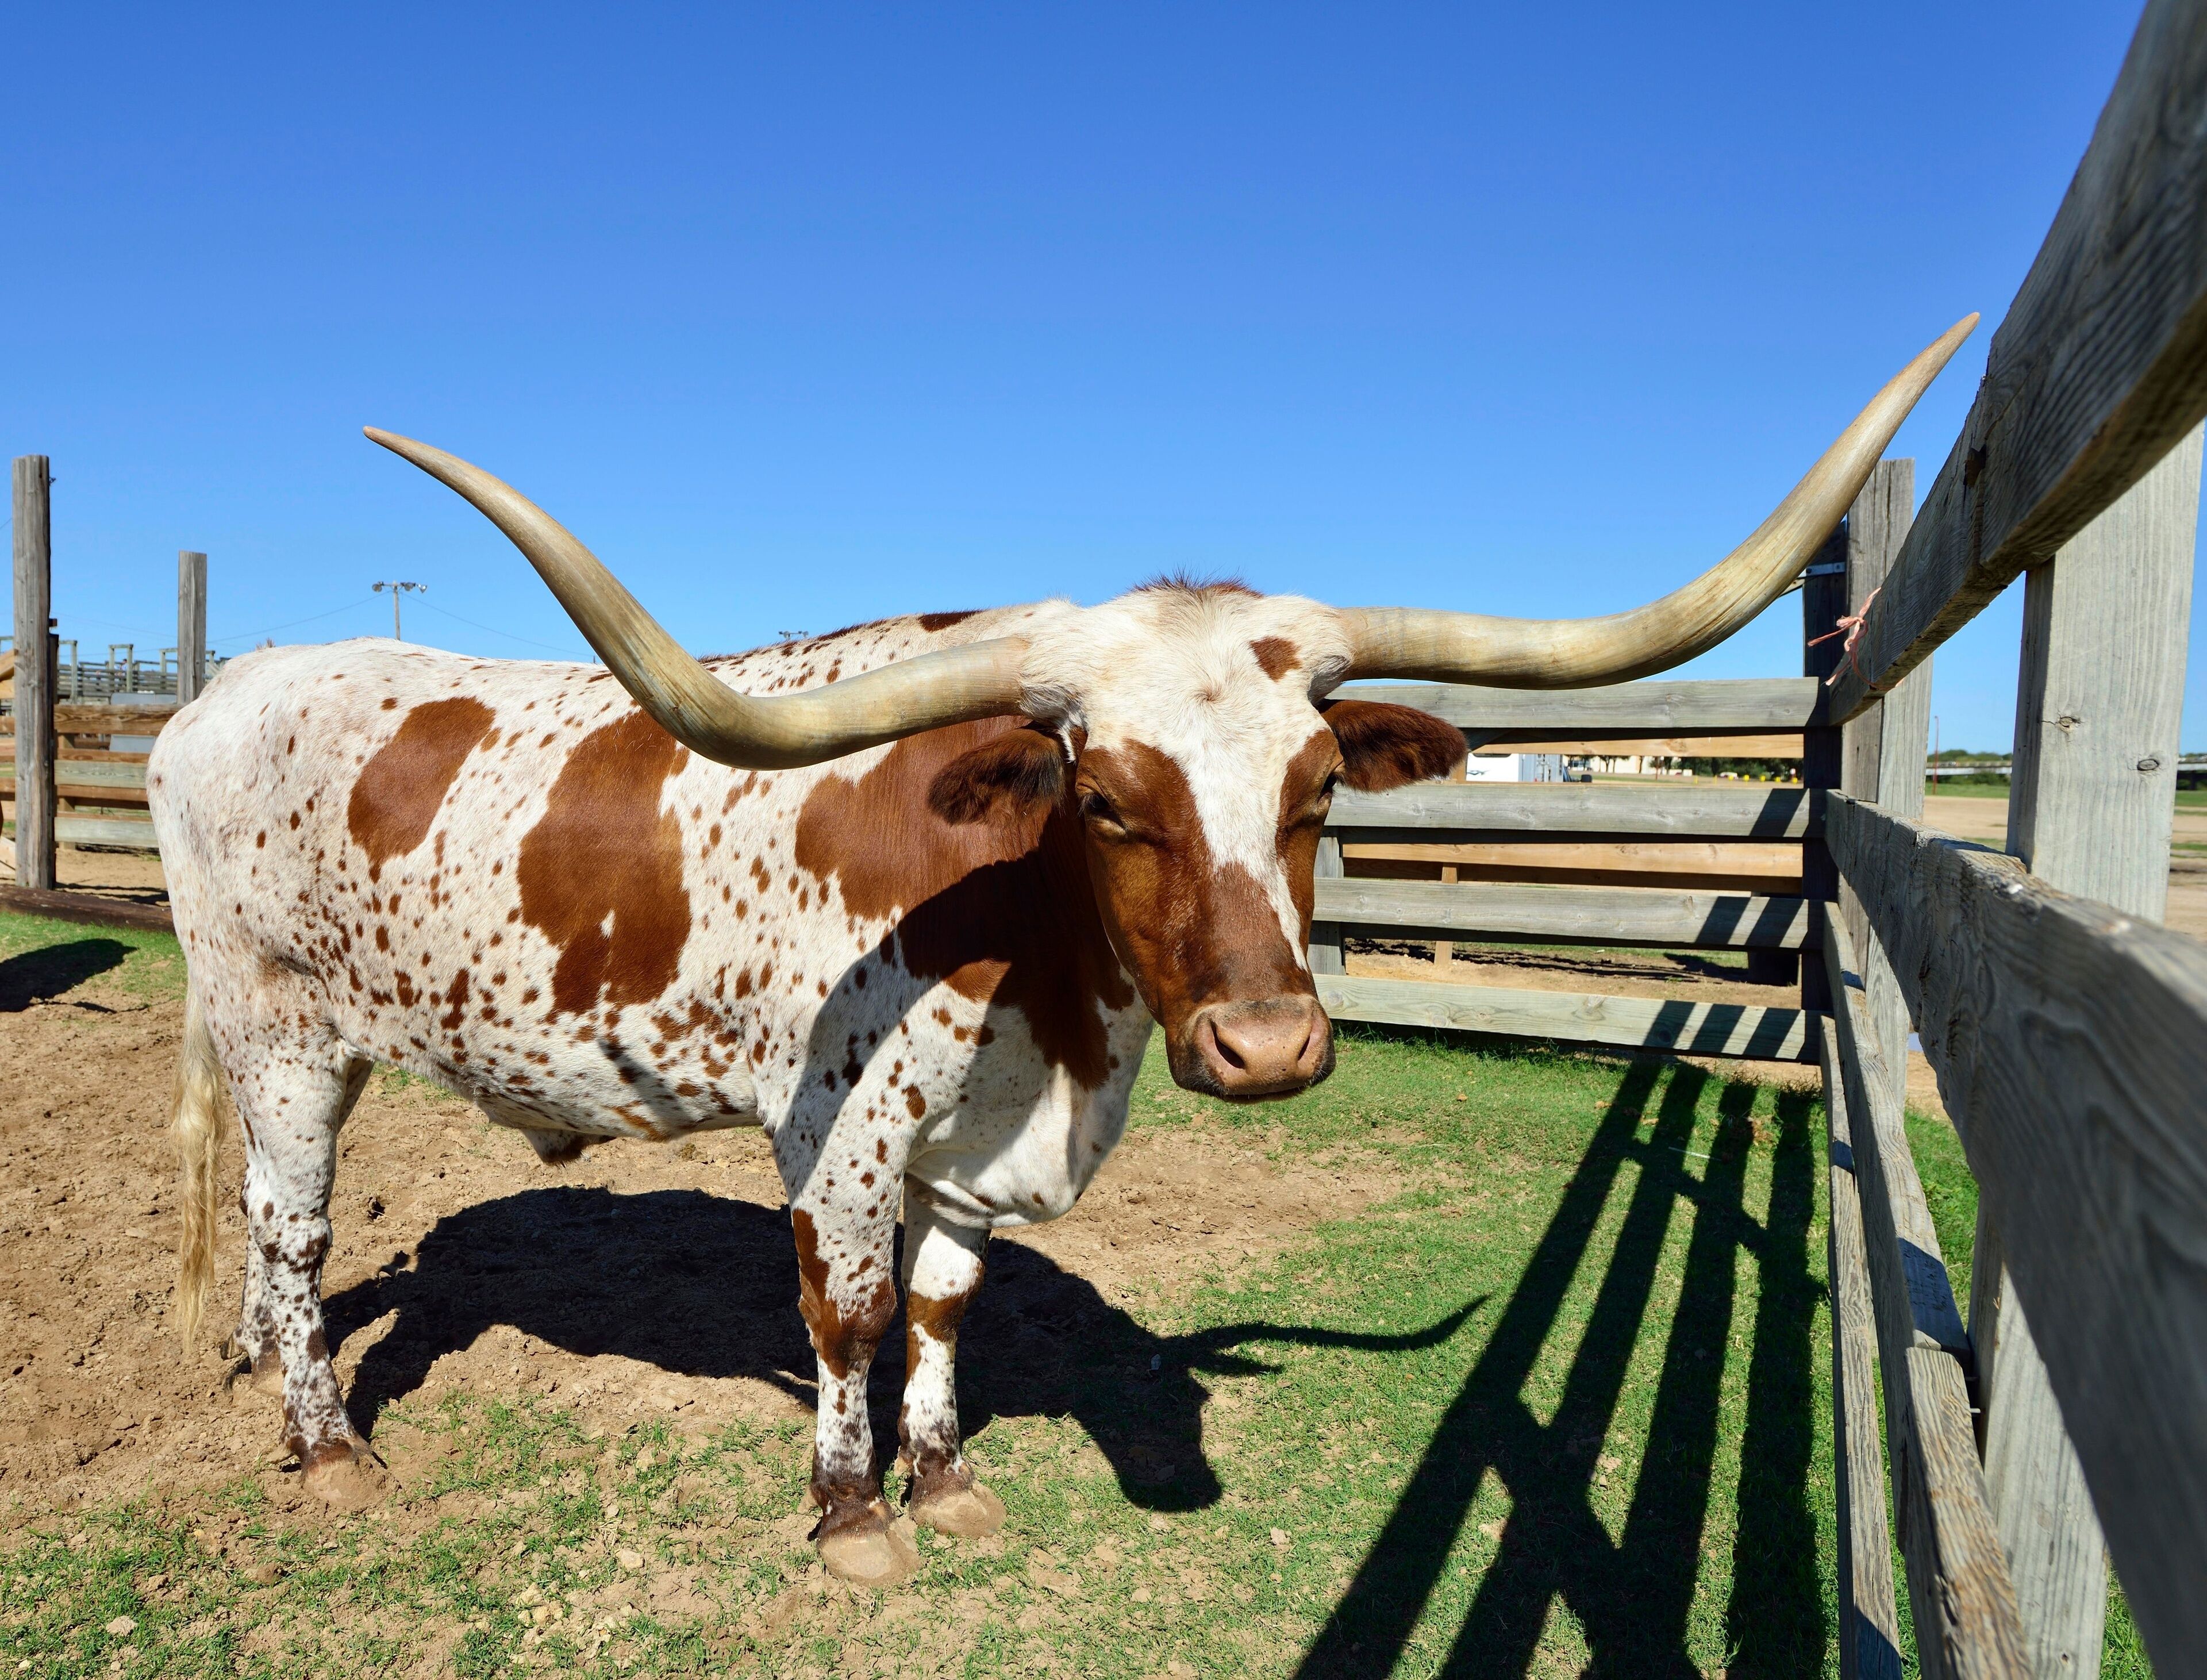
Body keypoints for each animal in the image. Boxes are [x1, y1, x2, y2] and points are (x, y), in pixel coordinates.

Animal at [155, 319, 1969, 1585]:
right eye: (1103, 798)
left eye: (1318, 788)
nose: (1268, 1047)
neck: (1033, 975)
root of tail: (210, 699)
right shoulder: (839, 1134)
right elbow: (847, 1312)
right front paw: (849, 1516)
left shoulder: (974, 1144)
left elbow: (946, 1303)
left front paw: (945, 1483)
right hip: (284, 1040)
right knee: (294, 1234)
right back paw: (326, 1446)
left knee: (268, 1243)